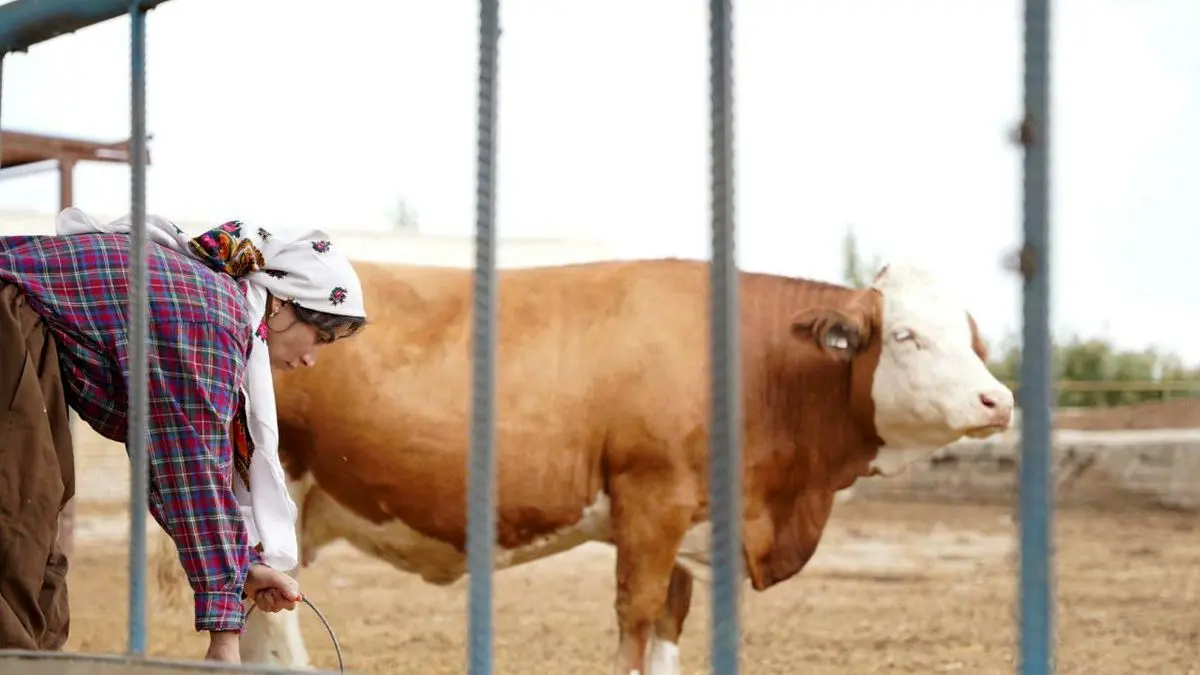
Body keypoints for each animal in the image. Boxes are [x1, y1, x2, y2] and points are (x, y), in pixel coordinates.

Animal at [150, 254, 1012, 667]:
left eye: (973, 333)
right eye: (907, 336)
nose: (997, 400)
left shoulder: (690, 528)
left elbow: (667, 629)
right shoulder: (650, 501)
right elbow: (634, 621)